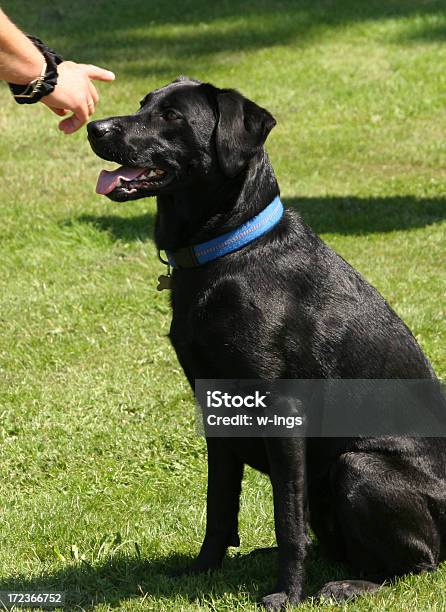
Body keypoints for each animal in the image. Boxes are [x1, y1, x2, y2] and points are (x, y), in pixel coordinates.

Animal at [87, 79, 446, 608]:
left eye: (172, 116)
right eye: (142, 105)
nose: (95, 127)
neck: (230, 251)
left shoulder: (282, 411)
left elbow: (287, 519)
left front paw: (286, 593)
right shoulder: (215, 408)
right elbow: (219, 506)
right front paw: (202, 571)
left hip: (359, 467)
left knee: (419, 563)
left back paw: (347, 585)